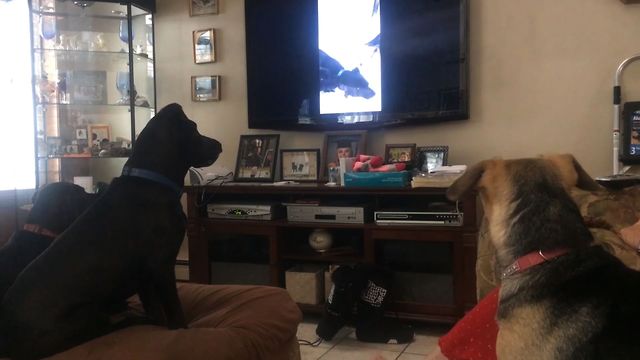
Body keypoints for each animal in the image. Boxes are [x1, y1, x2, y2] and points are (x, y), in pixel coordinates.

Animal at [1, 102, 222, 358]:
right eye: (194, 129)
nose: (219, 145)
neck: (151, 181)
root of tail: (8, 339)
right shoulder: (161, 267)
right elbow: (175, 311)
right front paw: (181, 329)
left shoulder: (145, 277)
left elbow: (155, 310)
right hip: (90, 312)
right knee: (105, 328)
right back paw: (130, 319)